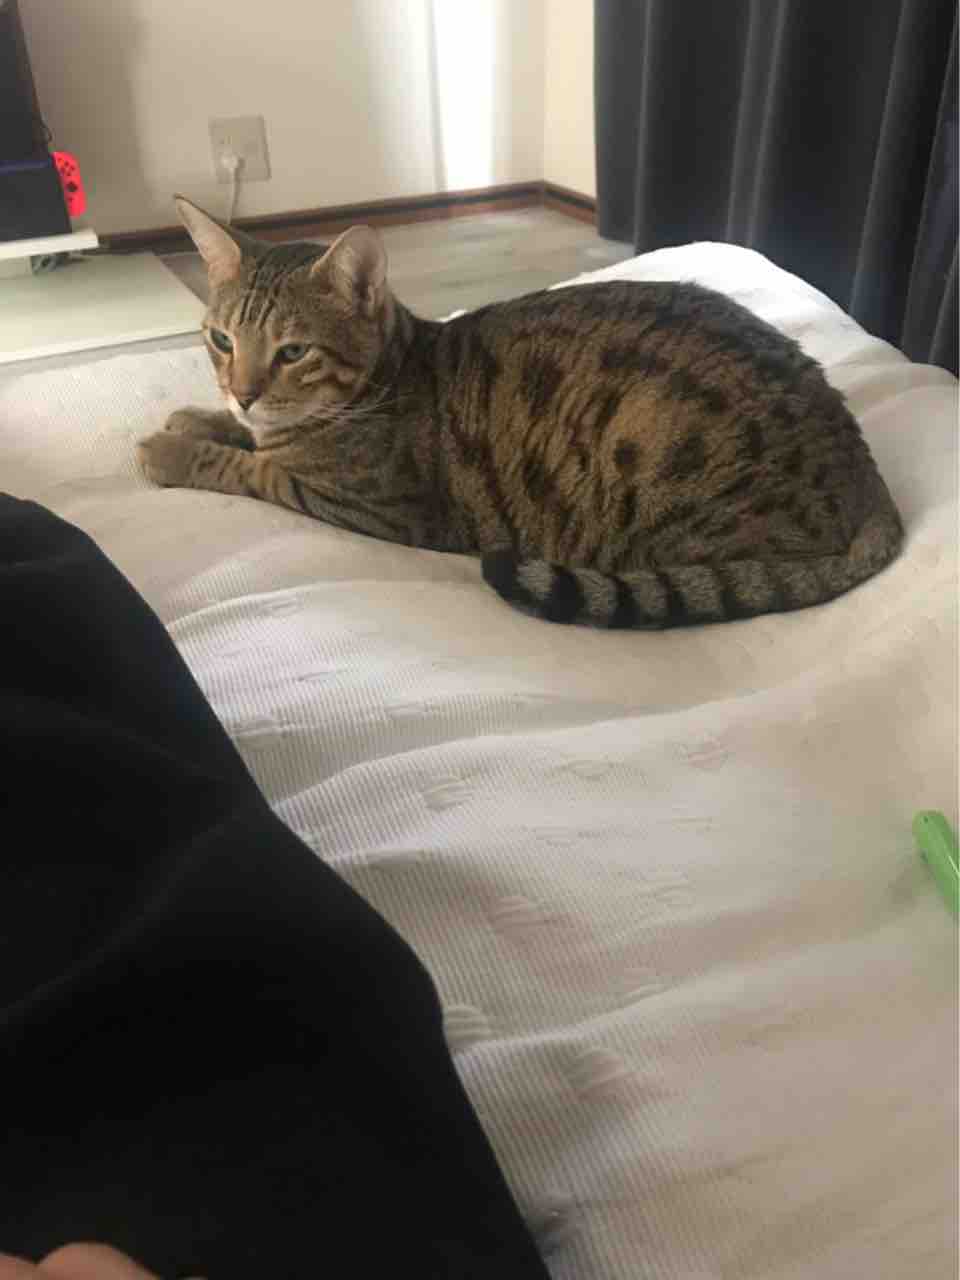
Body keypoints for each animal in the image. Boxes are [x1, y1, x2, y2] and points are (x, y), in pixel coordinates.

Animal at [138, 197, 903, 628]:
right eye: (221, 340)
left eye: (293, 351)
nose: (242, 389)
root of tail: (872, 490)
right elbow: (244, 438)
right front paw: (198, 417)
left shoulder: (369, 505)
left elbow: (251, 468)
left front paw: (172, 449)